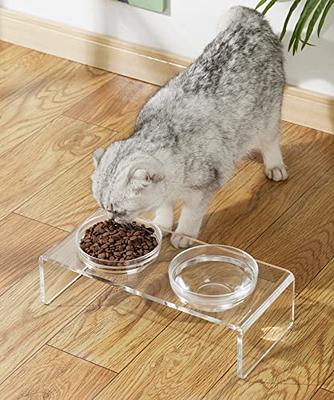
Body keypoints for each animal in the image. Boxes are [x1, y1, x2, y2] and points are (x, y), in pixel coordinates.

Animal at [91, 6, 288, 248]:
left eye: (118, 210)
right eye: (103, 207)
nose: (111, 219)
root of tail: (250, 18)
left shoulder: (203, 188)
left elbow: (191, 215)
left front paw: (183, 234)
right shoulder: (165, 192)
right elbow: (164, 207)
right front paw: (162, 225)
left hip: (268, 115)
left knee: (270, 141)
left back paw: (275, 166)